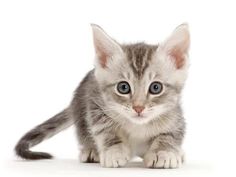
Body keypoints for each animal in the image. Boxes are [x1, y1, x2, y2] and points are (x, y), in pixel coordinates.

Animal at [15, 23, 190, 169]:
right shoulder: (96, 105)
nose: (138, 108)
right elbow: (105, 129)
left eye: (155, 87)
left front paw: (163, 152)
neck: (137, 126)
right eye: (123, 87)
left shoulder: (175, 116)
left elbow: (171, 134)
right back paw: (91, 150)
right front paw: (114, 151)